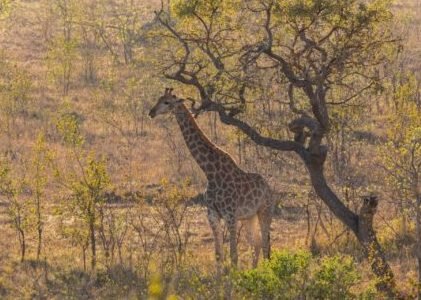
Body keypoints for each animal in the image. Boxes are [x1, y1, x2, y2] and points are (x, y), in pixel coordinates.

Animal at [148, 87, 276, 268]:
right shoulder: (213, 215)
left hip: (265, 211)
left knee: (265, 243)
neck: (210, 172)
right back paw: (254, 270)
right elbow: (218, 255)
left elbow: (233, 255)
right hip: (249, 217)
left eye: (167, 102)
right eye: (158, 99)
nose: (151, 112)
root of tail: (269, 188)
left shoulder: (230, 215)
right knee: (256, 243)